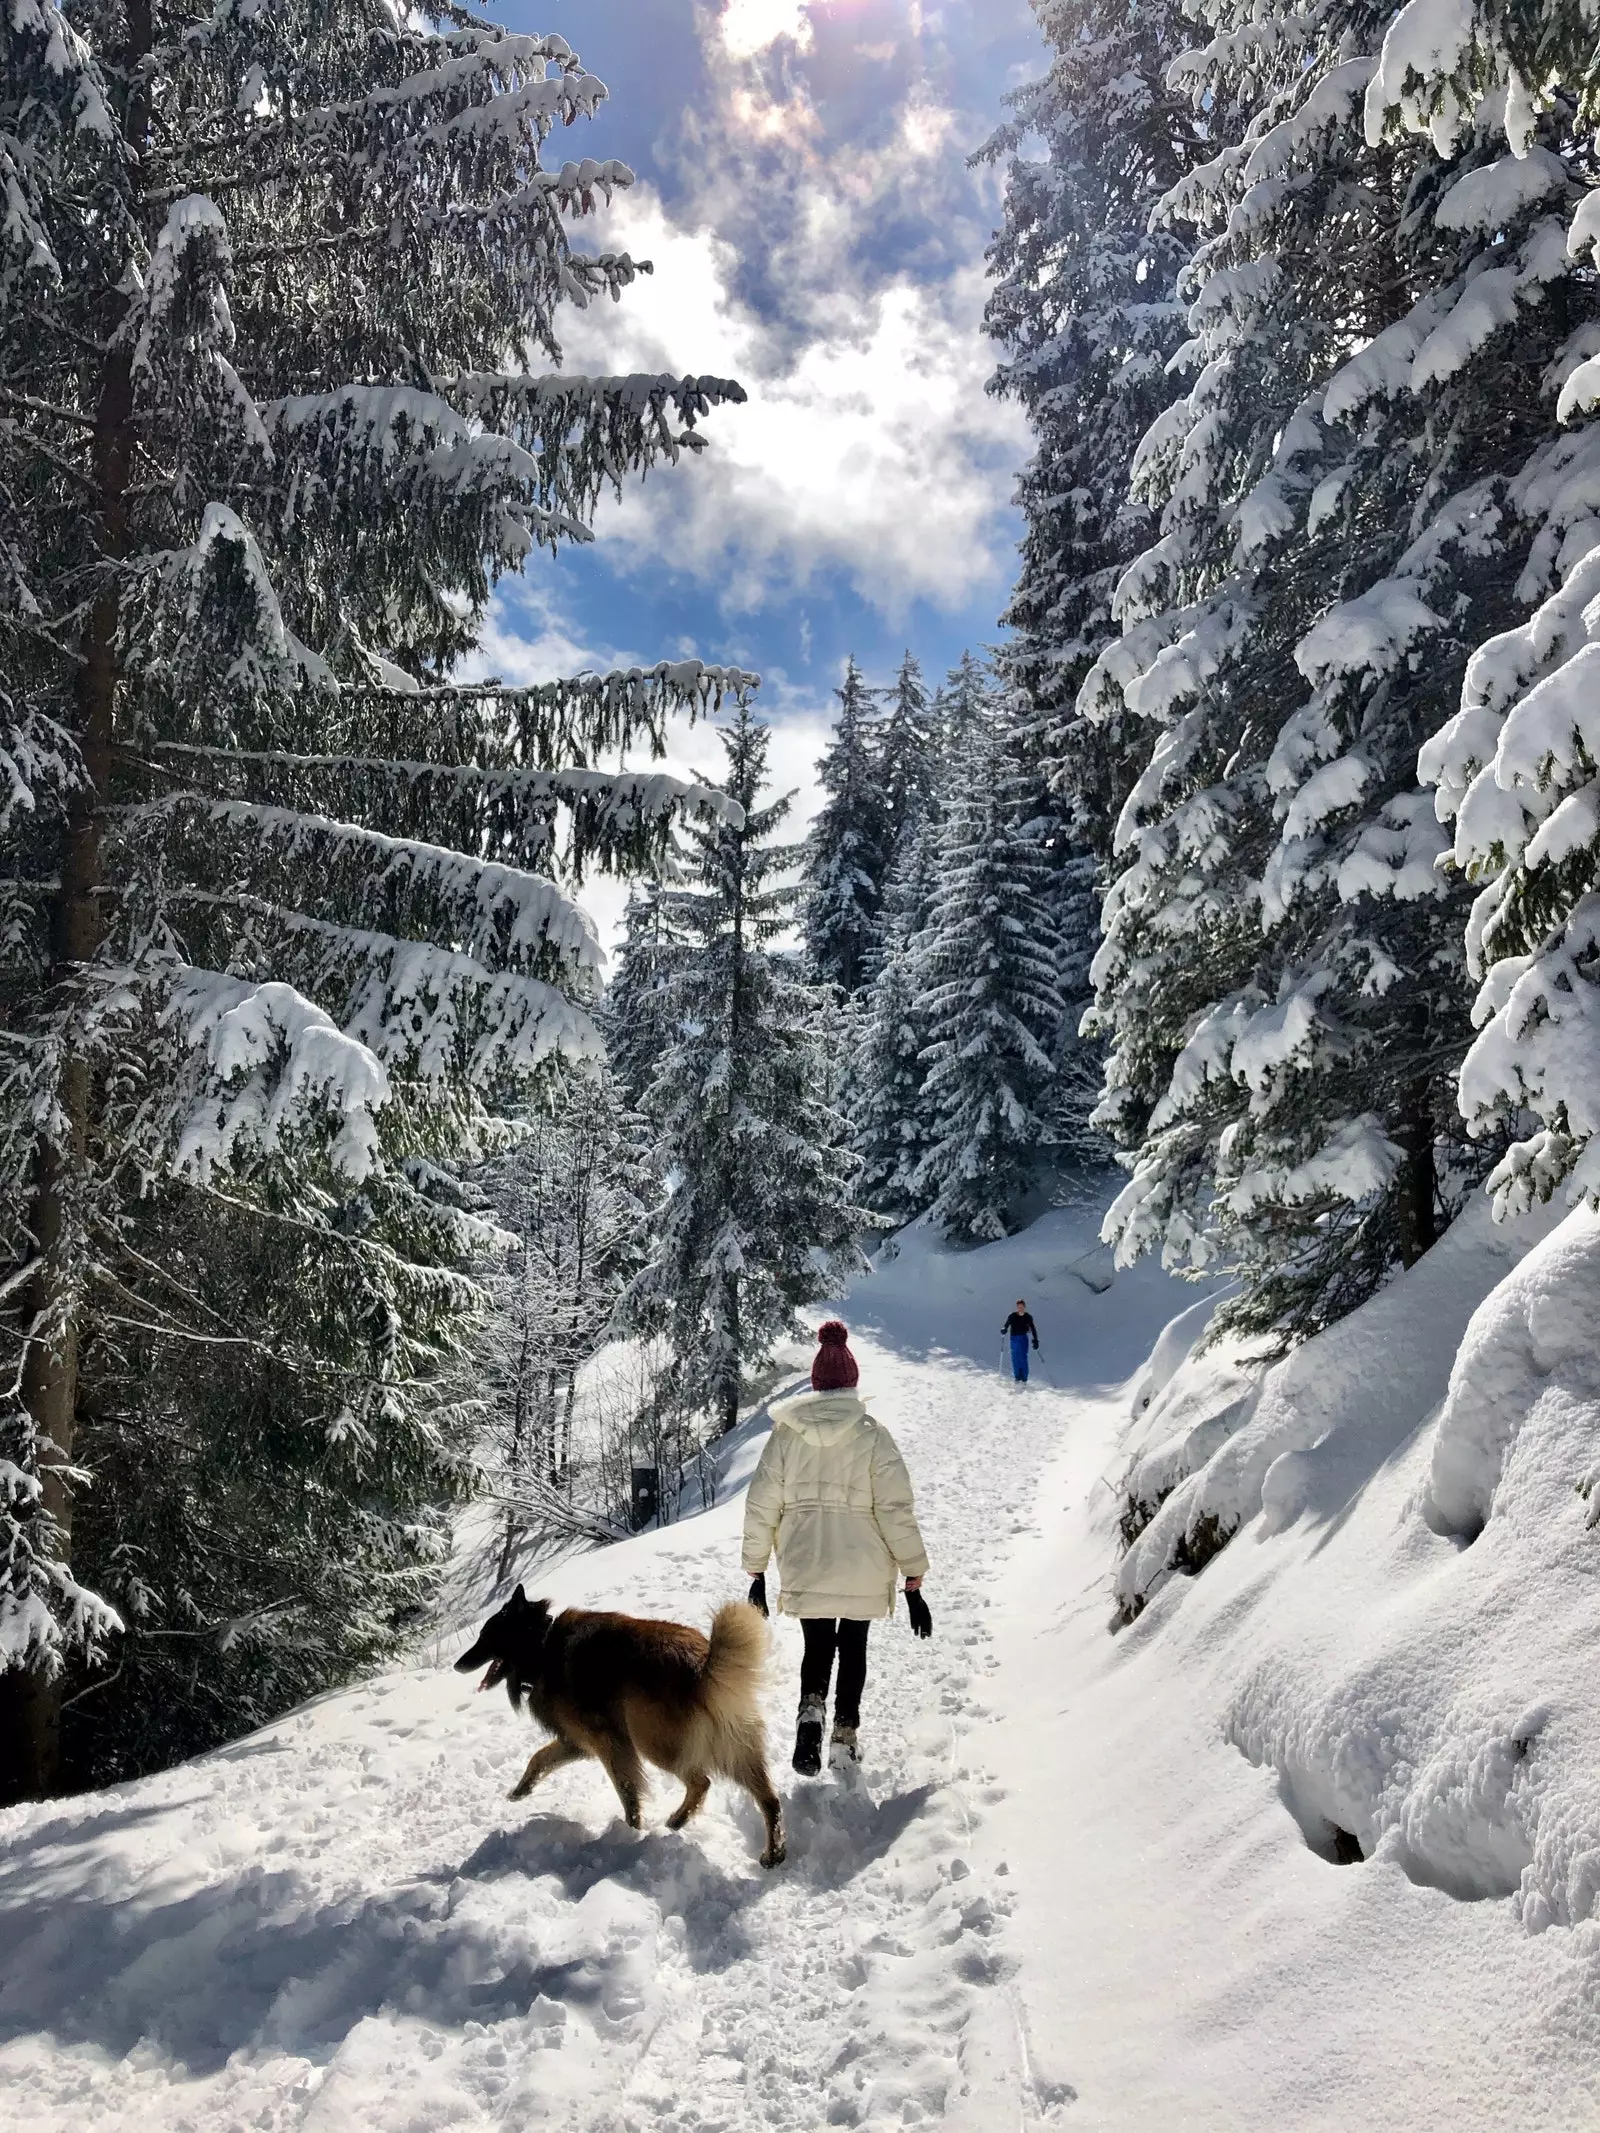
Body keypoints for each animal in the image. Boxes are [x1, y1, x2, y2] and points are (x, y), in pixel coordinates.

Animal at [454, 1586, 785, 1868]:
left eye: (485, 1635)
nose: (457, 1665)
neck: (543, 1646)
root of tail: (703, 1664)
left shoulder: (608, 1744)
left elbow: (626, 1790)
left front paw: (631, 1830)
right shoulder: (576, 1742)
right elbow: (538, 1758)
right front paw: (520, 1791)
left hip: (653, 1742)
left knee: (701, 1781)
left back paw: (678, 1820)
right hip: (735, 1745)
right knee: (768, 1799)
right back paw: (772, 1852)